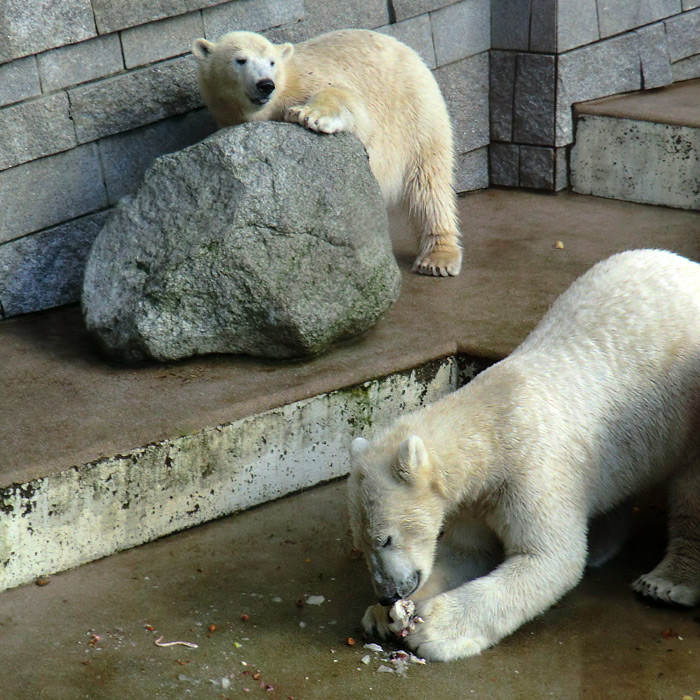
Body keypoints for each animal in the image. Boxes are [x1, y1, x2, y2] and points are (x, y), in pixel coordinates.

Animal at [191, 28, 462, 278]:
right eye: (241, 60)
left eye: (271, 62)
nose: (265, 85)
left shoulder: (312, 80)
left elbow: (345, 99)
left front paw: (309, 115)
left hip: (415, 111)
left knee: (428, 182)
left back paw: (437, 258)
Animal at [350, 250, 700, 660]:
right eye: (361, 543)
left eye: (386, 539)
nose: (388, 594)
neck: (493, 426)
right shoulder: (474, 499)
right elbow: (465, 552)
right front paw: (383, 617)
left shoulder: (532, 469)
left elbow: (548, 558)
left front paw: (434, 630)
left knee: (691, 491)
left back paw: (666, 582)